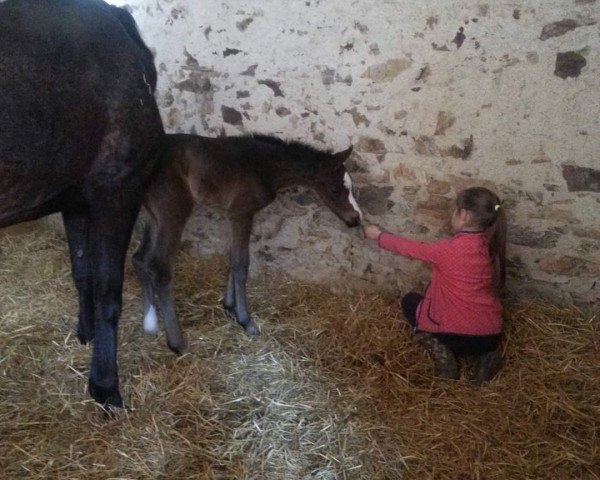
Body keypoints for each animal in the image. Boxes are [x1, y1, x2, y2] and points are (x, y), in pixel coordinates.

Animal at [134, 133, 364, 350]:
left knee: (140, 259)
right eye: (335, 190)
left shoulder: (231, 215)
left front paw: (229, 306)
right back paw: (177, 342)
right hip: (172, 213)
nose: (356, 219)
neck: (263, 168)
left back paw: (150, 324)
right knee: (159, 268)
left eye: (352, 187)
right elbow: (241, 264)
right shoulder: (241, 213)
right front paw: (245, 321)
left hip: (153, 216)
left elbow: (232, 257)